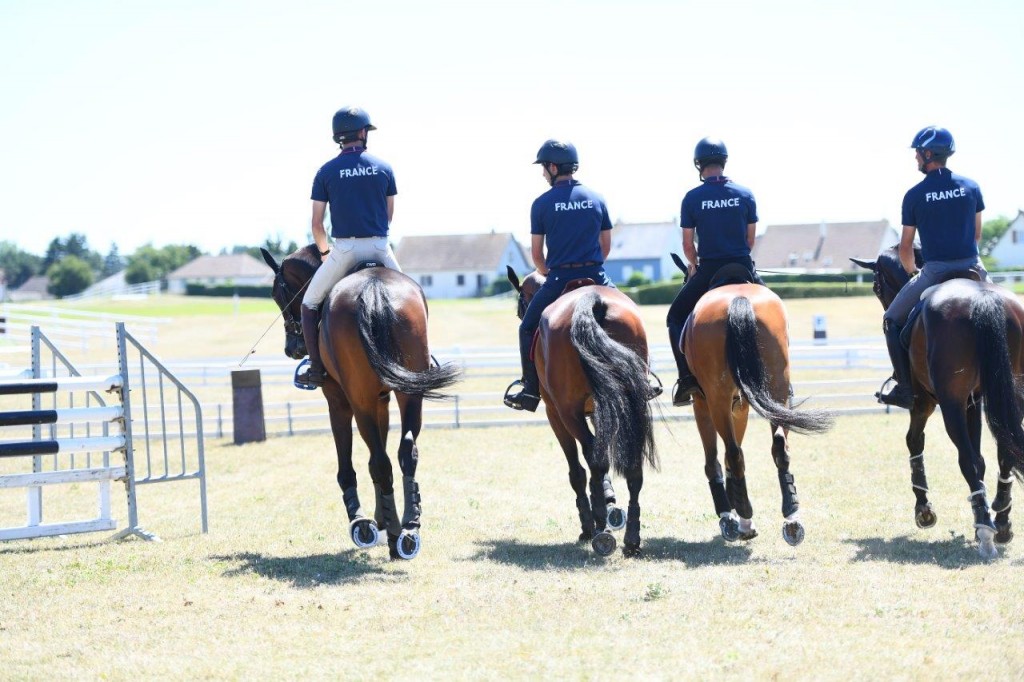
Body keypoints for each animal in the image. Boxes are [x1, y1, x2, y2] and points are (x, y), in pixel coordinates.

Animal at [262, 244, 462, 557]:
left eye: (276, 294)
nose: (291, 349)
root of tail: (375, 290)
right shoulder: (381, 400)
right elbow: (379, 458)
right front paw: (383, 518)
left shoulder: (339, 401)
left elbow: (349, 465)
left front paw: (363, 521)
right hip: (409, 394)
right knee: (405, 452)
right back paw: (408, 529)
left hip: (358, 399)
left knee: (381, 461)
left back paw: (387, 534)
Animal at [507, 262, 659, 557]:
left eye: (521, 301)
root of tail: (593, 301)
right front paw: (609, 500)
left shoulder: (555, 414)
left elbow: (578, 470)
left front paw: (591, 521)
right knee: (630, 463)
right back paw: (631, 537)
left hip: (567, 412)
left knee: (594, 460)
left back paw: (599, 530)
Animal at [679, 270, 831, 540]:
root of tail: (739, 300)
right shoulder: (740, 404)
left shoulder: (704, 402)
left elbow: (714, 459)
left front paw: (729, 514)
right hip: (777, 386)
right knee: (779, 445)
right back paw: (791, 517)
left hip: (716, 397)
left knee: (732, 452)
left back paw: (742, 514)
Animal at [847, 245, 1024, 557]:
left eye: (876, 286)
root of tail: (982, 299)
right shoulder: (971, 402)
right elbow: (981, 457)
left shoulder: (924, 403)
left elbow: (914, 442)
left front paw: (924, 510)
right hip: (1012, 395)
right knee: (1006, 450)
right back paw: (1001, 521)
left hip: (949, 403)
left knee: (967, 459)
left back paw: (985, 528)